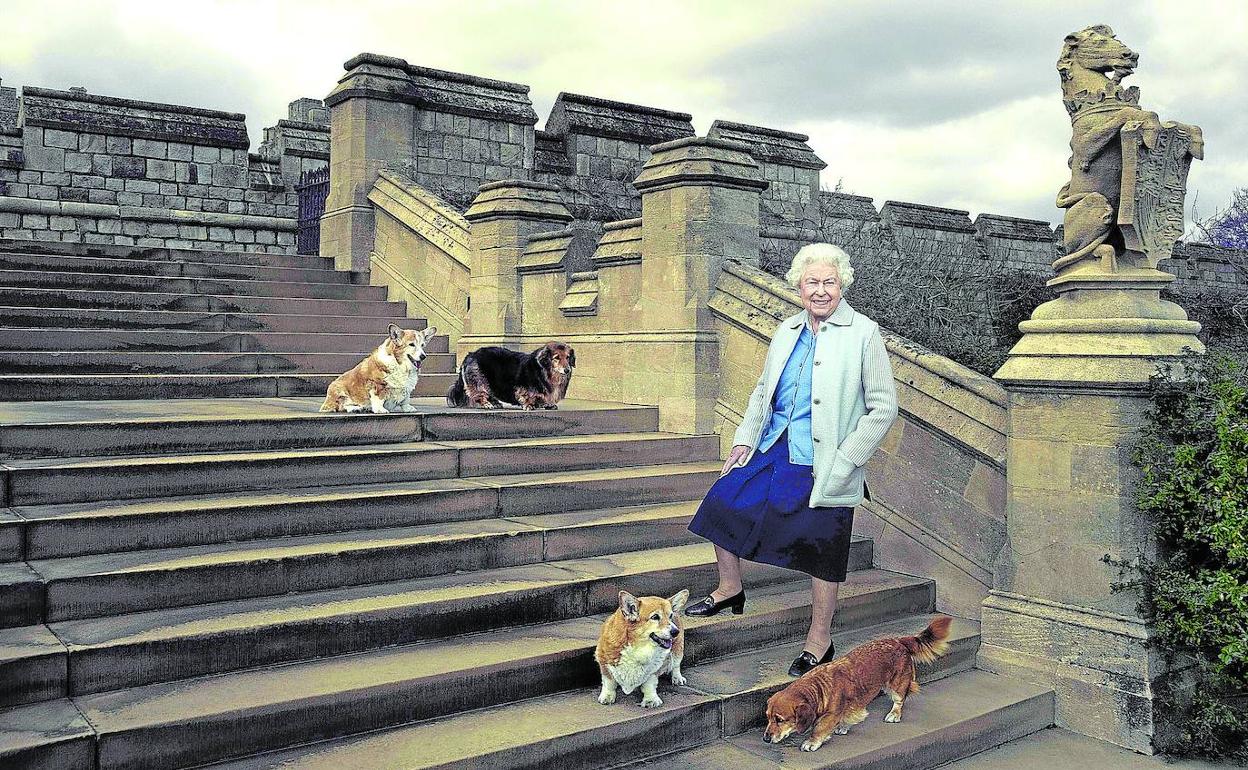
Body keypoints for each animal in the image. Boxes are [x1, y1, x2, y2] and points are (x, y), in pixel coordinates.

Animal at [758, 618, 953, 748]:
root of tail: (898, 640)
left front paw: (812, 742)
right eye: (767, 717)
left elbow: (819, 728)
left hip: (896, 686)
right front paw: (843, 727)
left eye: (780, 720)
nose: (765, 739)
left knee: (900, 700)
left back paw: (894, 714)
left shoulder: (831, 714)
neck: (818, 687)